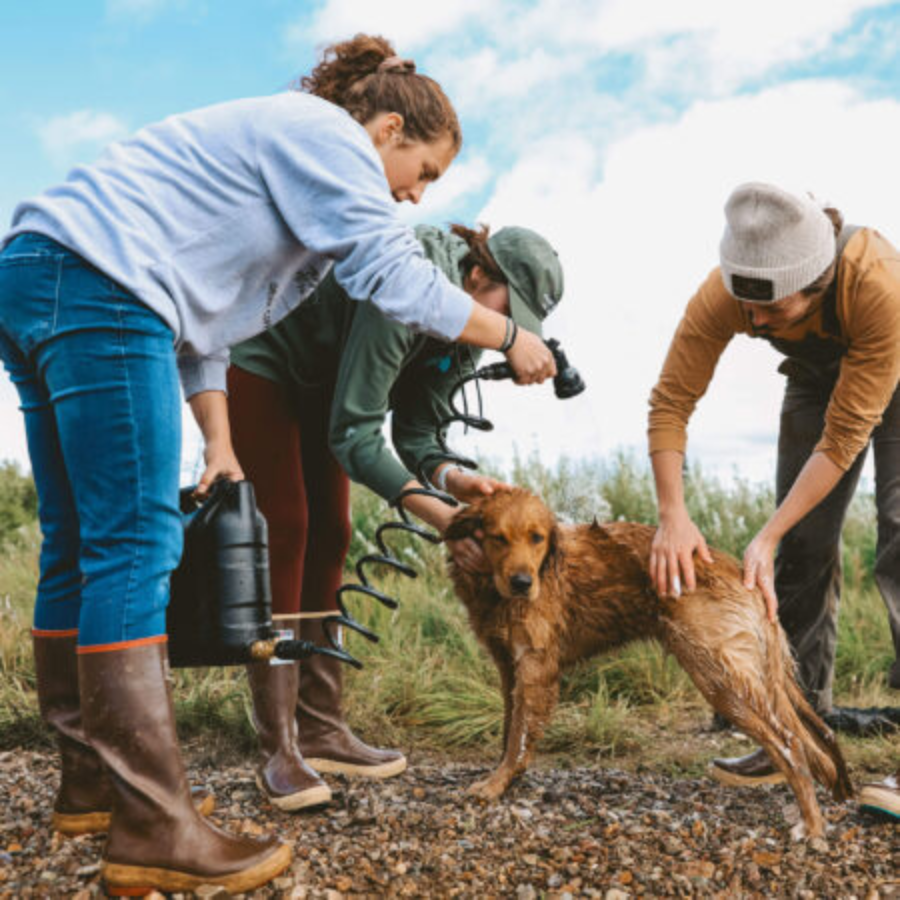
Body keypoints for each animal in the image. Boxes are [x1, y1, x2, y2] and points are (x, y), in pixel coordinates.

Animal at [446, 488, 856, 840]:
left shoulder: (534, 667)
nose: (521, 583)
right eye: (497, 538)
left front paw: (495, 784)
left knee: (790, 745)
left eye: (537, 538)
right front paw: (505, 779)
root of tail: (744, 575)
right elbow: (509, 732)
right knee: (813, 741)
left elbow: (518, 737)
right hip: (750, 678)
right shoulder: (508, 666)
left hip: (719, 678)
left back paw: (812, 825)